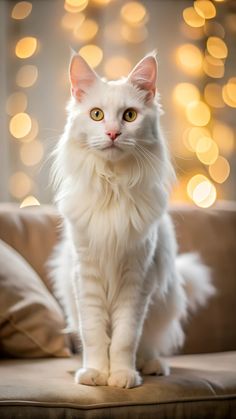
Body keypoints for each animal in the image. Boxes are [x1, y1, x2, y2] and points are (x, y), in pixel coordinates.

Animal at [50, 53, 216, 390]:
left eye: (129, 116)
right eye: (97, 115)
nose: (113, 133)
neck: (112, 189)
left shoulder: (137, 278)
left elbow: (125, 338)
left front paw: (122, 376)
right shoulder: (86, 275)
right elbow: (95, 334)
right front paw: (95, 374)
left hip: (164, 299)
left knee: (148, 345)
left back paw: (151, 366)